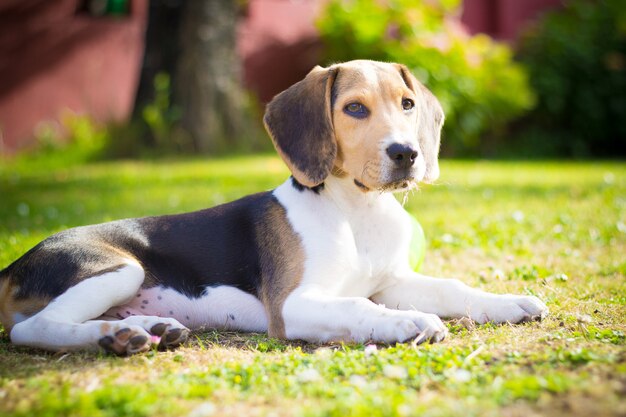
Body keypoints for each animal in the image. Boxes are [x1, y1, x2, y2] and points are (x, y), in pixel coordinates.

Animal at [0, 61, 544, 354]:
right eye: (354, 108)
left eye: (408, 104)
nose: (407, 154)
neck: (356, 212)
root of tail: (14, 262)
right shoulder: (294, 305)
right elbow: (360, 306)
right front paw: (407, 322)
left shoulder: (392, 281)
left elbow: (451, 287)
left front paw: (507, 302)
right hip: (117, 268)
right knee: (29, 328)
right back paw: (114, 336)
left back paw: (140, 331)